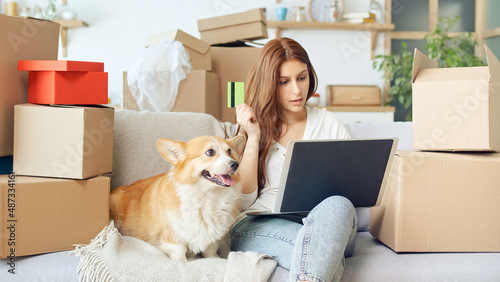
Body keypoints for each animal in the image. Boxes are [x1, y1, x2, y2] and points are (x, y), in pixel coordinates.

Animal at [112, 135, 248, 262]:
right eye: (210, 152)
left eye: (229, 151)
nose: (235, 164)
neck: (208, 197)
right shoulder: (172, 237)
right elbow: (180, 252)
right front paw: (183, 262)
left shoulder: (213, 238)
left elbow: (211, 251)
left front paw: (215, 259)